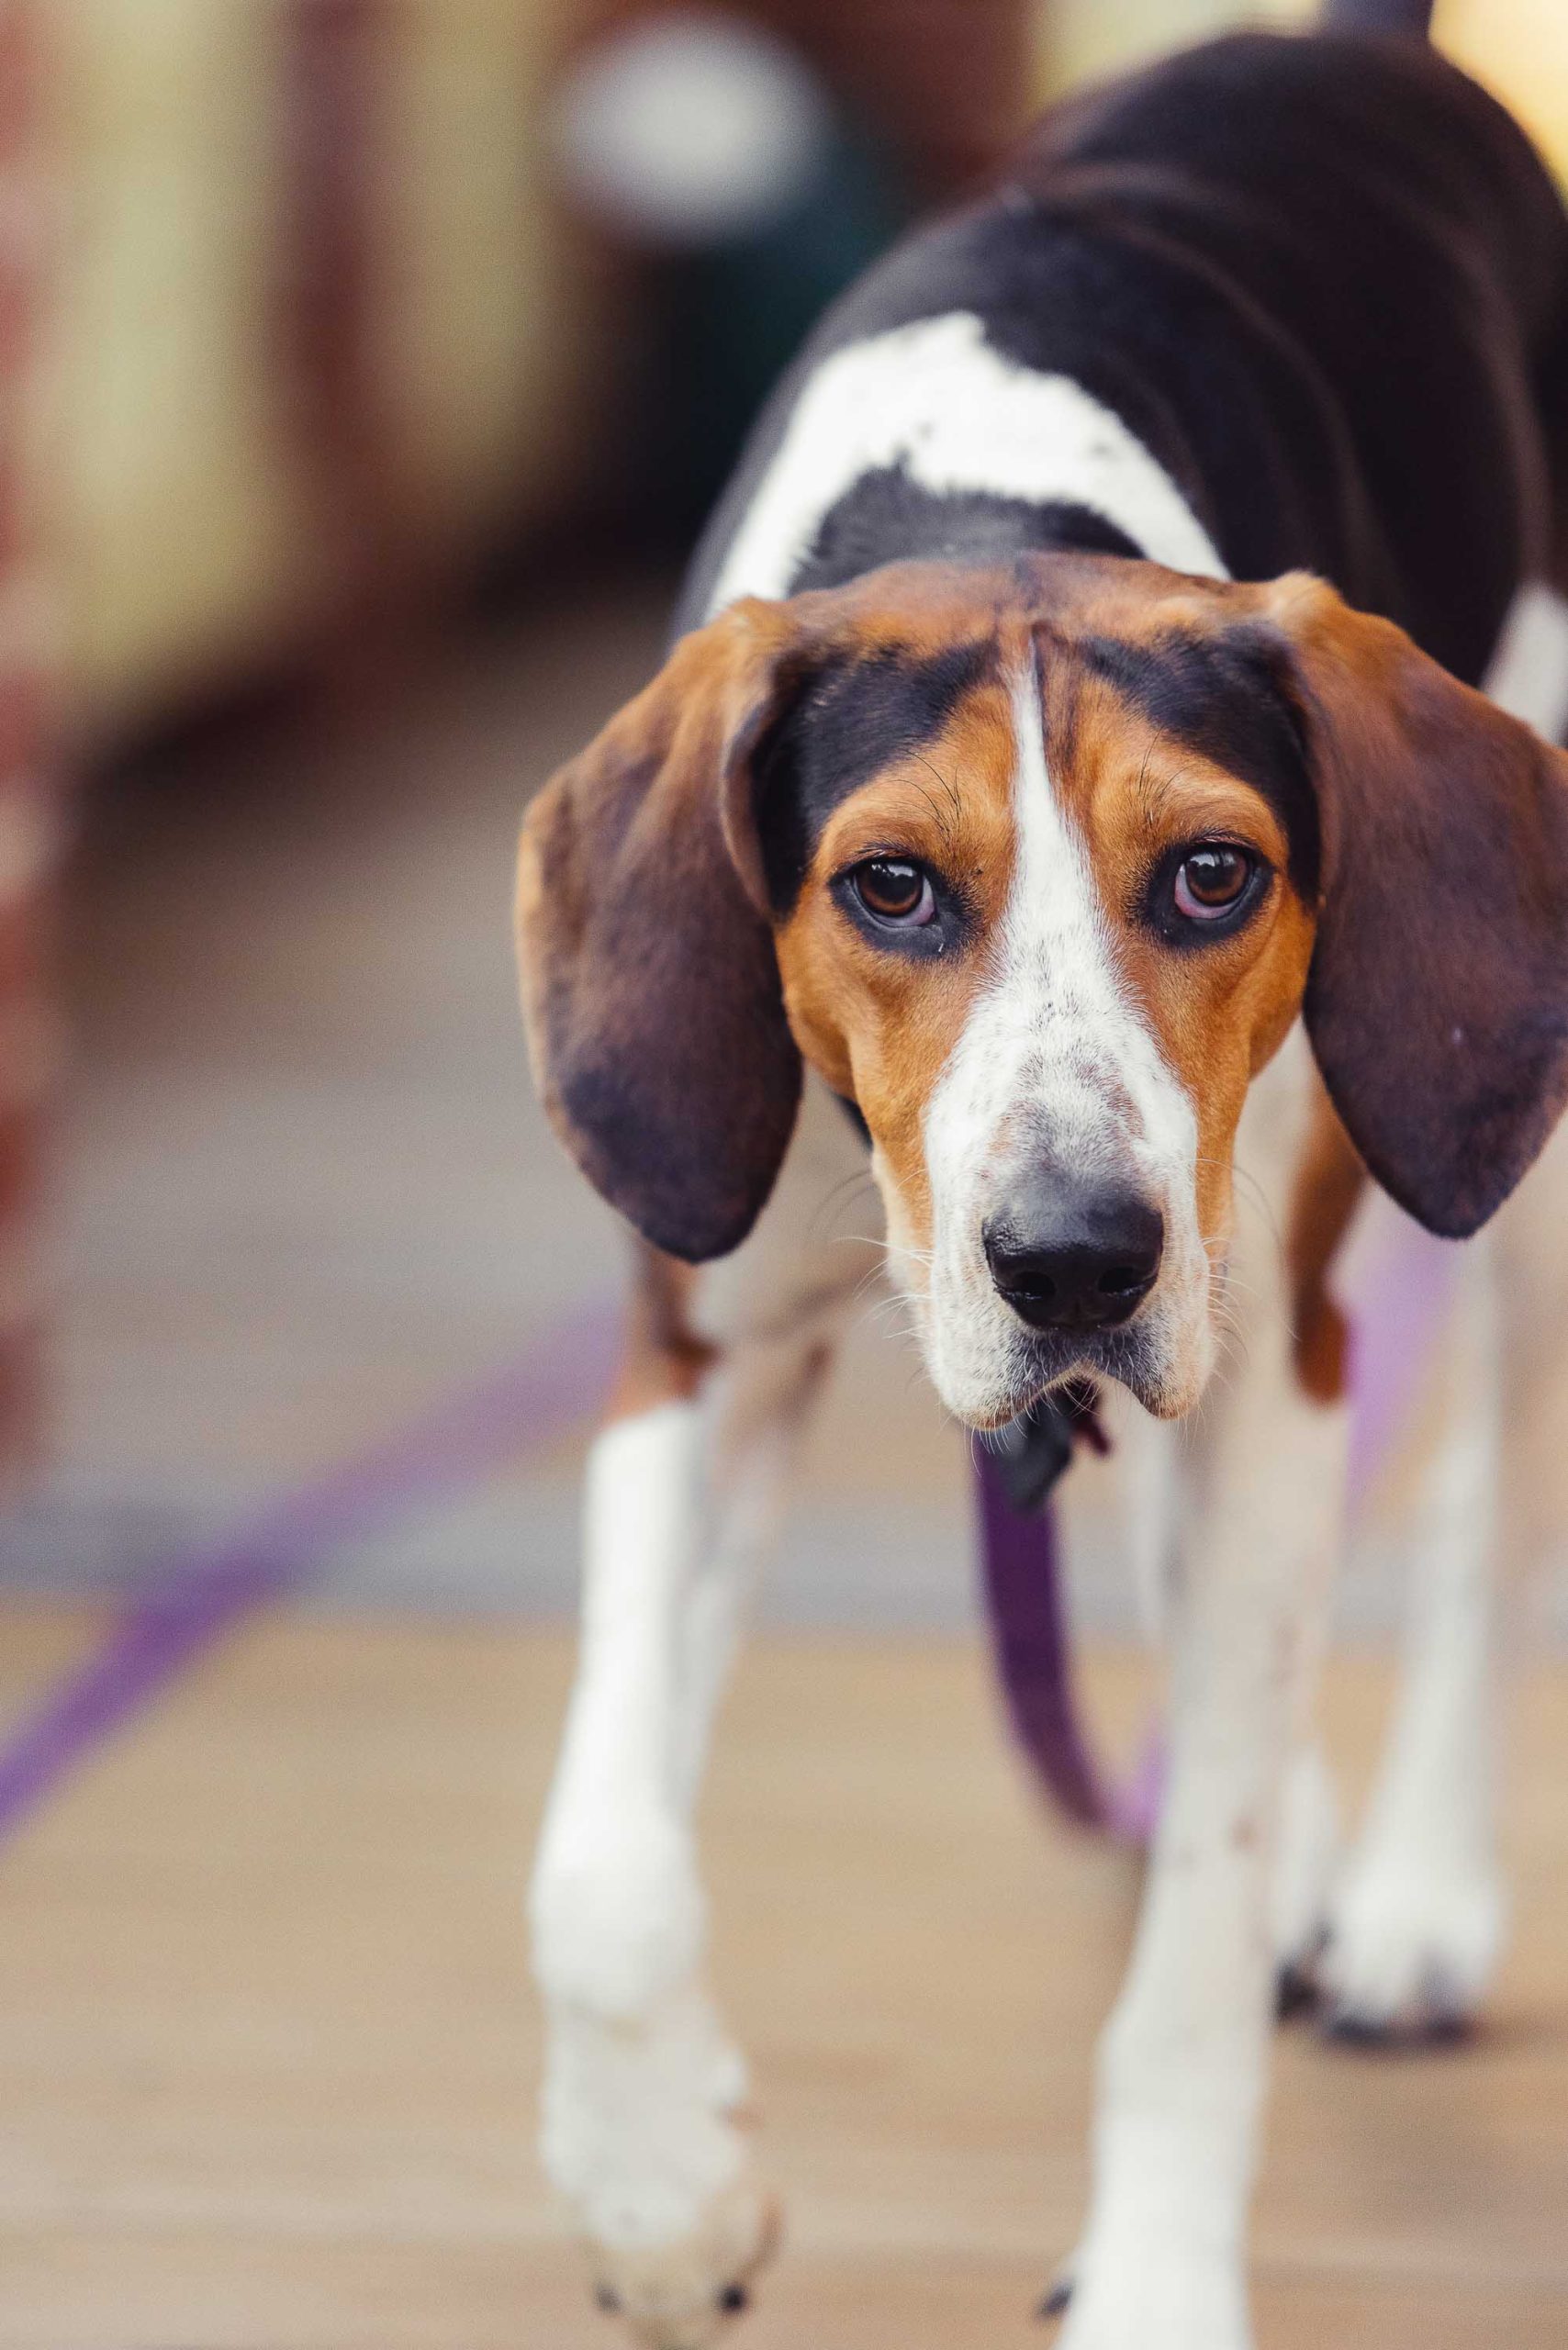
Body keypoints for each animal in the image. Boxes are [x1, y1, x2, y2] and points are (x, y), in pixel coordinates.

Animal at [517, 22, 1568, 2350]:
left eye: (1214, 873)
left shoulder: (1262, 1360)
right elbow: (604, 1863)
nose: (1072, 1258)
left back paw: (1411, 1887)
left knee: (1476, 1512)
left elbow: (1185, 1971)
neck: (985, 499)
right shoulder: (690, 1345)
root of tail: (1343, 46)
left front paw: (1160, 2280)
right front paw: (657, 2191)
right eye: (888, 885)